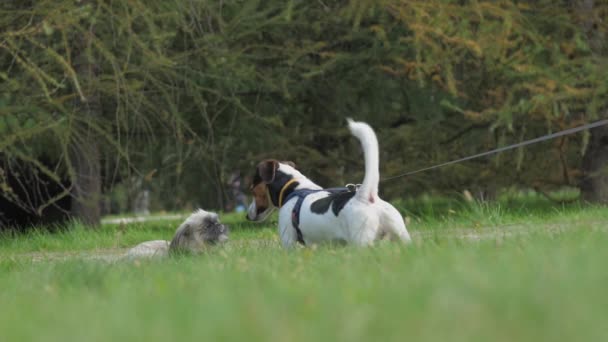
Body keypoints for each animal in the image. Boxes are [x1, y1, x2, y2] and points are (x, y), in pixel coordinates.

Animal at [246, 119, 408, 247]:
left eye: (252, 189)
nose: (247, 216)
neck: (295, 189)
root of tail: (366, 197)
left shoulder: (289, 242)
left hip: (362, 240)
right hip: (402, 236)